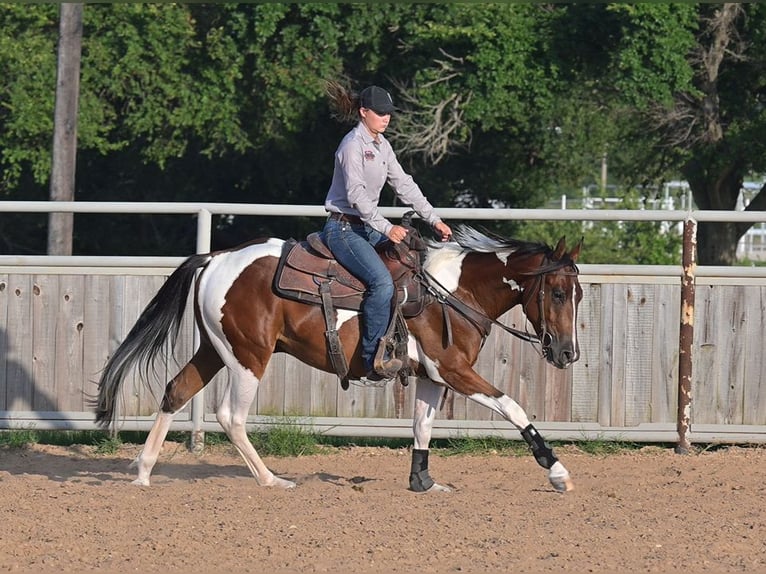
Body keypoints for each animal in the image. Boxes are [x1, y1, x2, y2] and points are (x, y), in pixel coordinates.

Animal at [94, 223, 582, 493]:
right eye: (558, 292)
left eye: (578, 294)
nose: (567, 353)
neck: (452, 292)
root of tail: (216, 258)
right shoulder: (454, 371)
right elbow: (513, 406)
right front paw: (557, 472)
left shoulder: (431, 377)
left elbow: (422, 427)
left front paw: (423, 482)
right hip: (249, 357)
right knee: (231, 416)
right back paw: (271, 480)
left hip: (215, 349)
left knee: (176, 391)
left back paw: (143, 473)